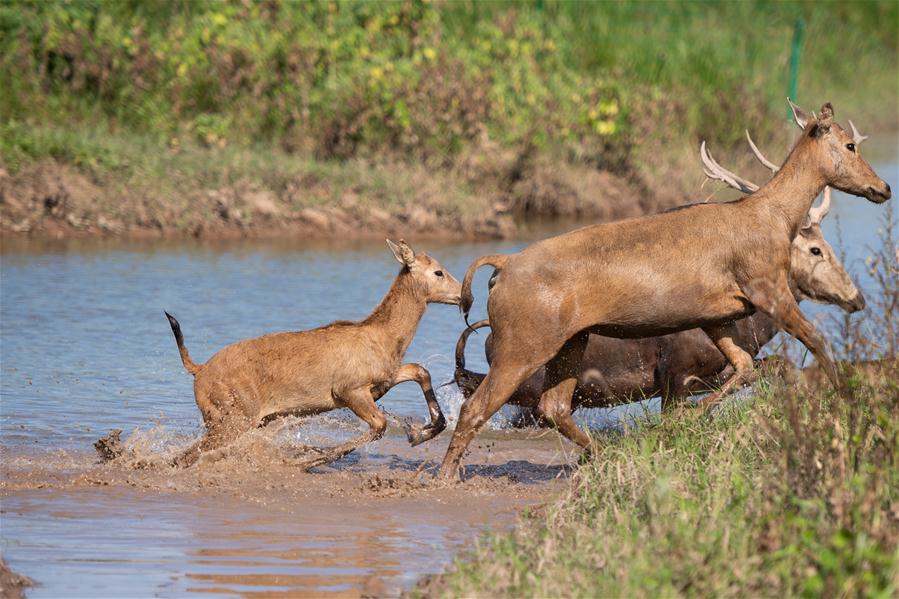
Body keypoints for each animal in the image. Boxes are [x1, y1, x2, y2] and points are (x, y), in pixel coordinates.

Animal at [162, 239, 460, 468]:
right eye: (438, 272)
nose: (462, 294)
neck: (384, 336)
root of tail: (198, 370)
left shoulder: (382, 380)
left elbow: (420, 370)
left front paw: (421, 433)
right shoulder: (349, 390)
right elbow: (379, 425)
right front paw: (307, 459)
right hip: (232, 419)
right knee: (185, 455)